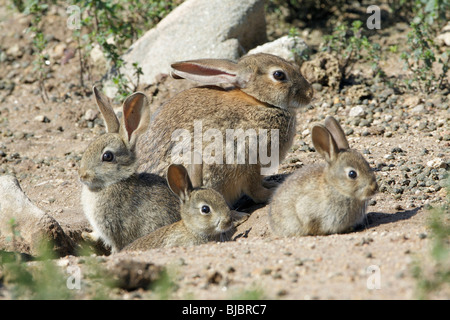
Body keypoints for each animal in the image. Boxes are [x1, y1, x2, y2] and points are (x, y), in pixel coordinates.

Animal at [135, 53, 314, 206]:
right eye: (279, 75)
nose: (310, 93)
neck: (260, 102)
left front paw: (271, 183)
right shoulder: (249, 159)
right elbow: (254, 190)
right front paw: (270, 193)